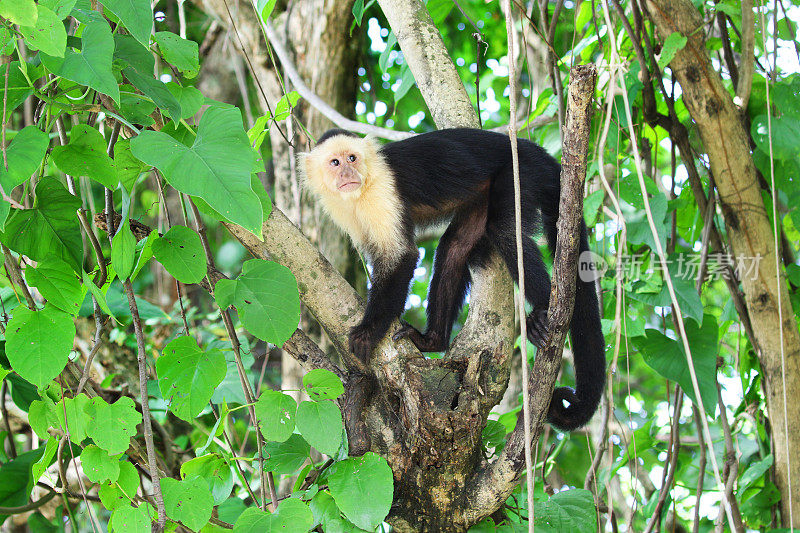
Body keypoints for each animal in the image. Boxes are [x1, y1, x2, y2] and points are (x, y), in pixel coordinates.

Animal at [300, 129, 608, 432]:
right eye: (335, 162)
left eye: (352, 158)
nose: (347, 172)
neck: (362, 189)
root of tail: (540, 153)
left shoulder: (382, 192)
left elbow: (402, 256)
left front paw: (368, 331)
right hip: (483, 198)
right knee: (455, 247)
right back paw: (432, 341)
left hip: (522, 172)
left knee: (505, 231)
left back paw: (545, 312)